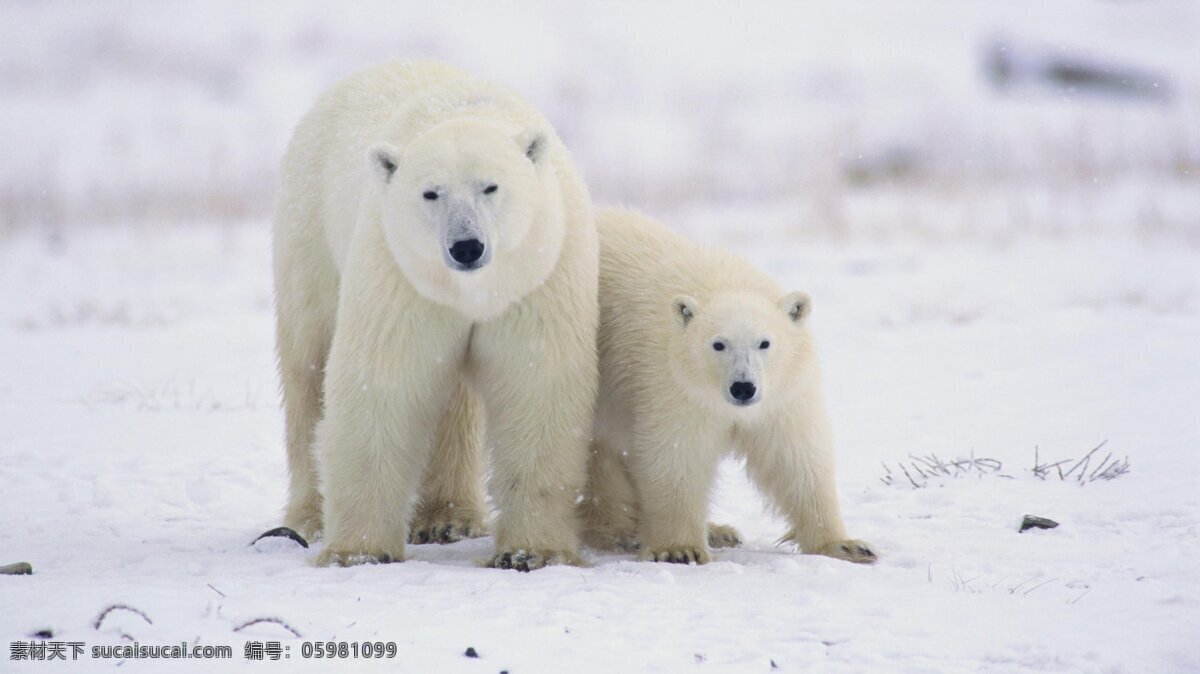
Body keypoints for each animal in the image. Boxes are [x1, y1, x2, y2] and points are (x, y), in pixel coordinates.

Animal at [277, 61, 604, 566]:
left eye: (491, 186)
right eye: (430, 193)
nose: (466, 246)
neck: (471, 291)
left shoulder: (537, 273)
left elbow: (536, 384)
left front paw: (530, 551)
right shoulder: (401, 274)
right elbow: (383, 381)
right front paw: (360, 551)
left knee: (454, 402)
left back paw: (450, 518)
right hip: (310, 230)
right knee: (308, 369)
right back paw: (309, 517)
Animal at [578, 208, 873, 561]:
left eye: (764, 343)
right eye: (718, 344)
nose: (743, 387)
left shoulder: (783, 394)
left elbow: (795, 457)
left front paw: (847, 545)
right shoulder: (672, 383)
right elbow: (677, 454)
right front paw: (680, 549)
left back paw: (719, 531)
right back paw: (618, 531)